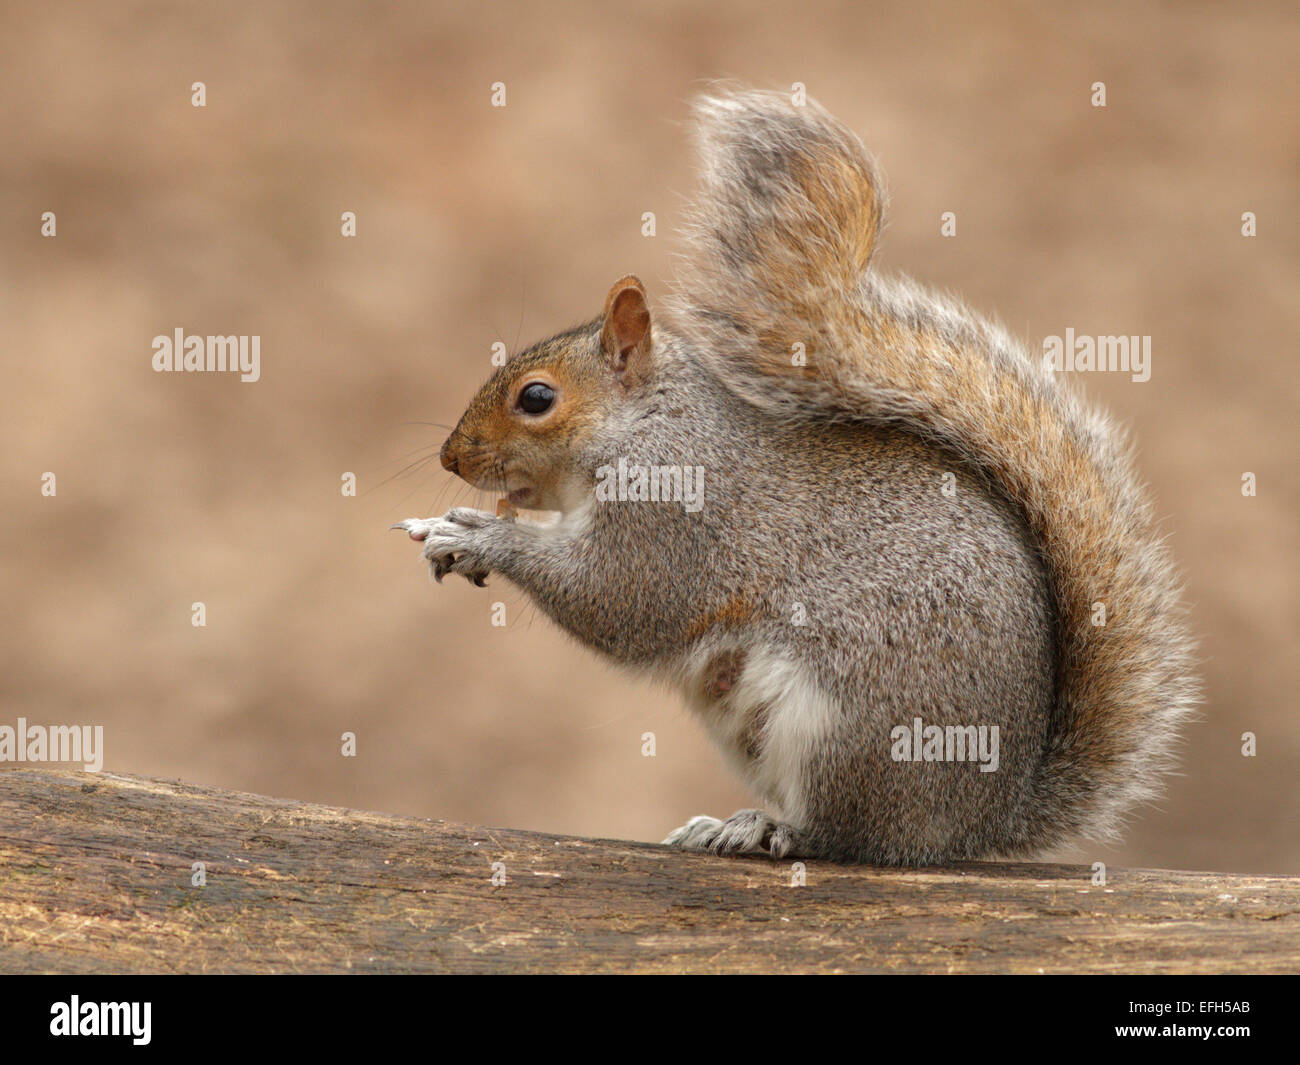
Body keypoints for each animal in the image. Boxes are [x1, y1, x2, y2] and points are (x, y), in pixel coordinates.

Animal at [392, 85, 1196, 868]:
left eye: (536, 399)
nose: (452, 460)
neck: (648, 425)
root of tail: (976, 825)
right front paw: (447, 526)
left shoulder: (678, 515)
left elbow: (617, 599)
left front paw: (479, 534)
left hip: (848, 728)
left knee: (851, 836)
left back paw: (767, 830)